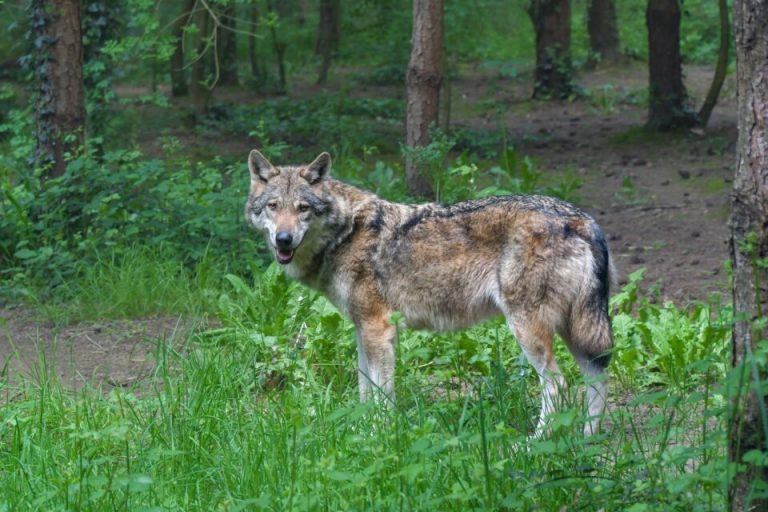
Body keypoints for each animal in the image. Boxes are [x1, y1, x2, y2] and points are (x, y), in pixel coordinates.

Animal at [244, 150, 614, 436]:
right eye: (273, 206)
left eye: (303, 208)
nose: (283, 239)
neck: (346, 233)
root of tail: (582, 219)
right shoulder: (362, 330)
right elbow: (365, 392)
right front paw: (359, 433)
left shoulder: (379, 329)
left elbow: (382, 396)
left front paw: (380, 436)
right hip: (575, 330)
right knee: (597, 379)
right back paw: (587, 440)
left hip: (529, 329)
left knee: (559, 386)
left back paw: (532, 445)